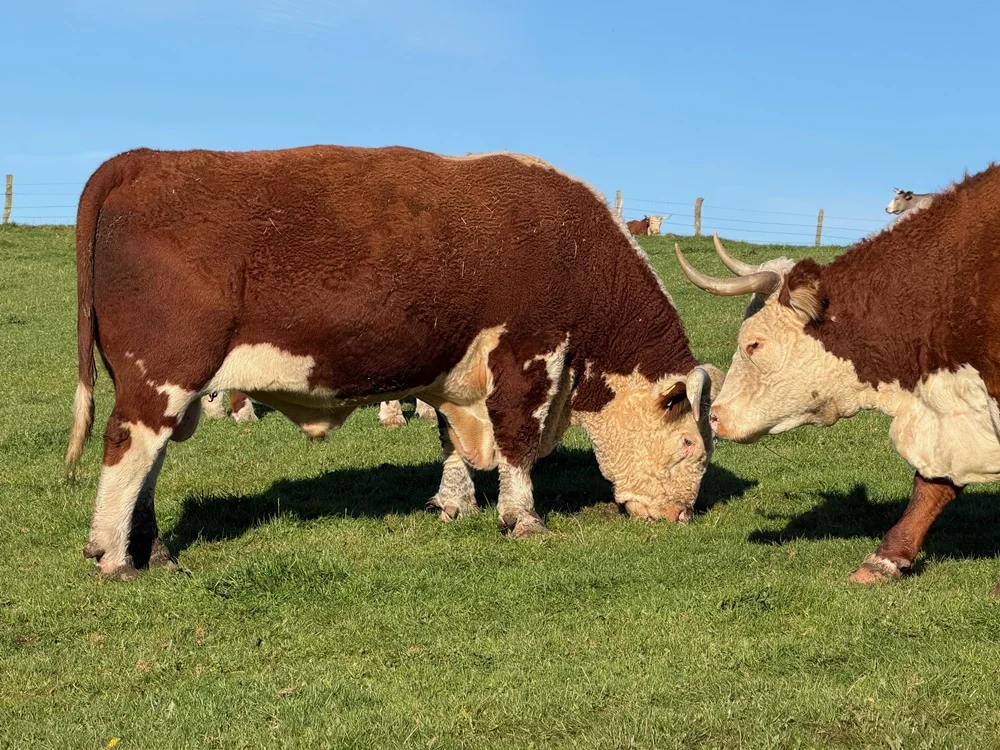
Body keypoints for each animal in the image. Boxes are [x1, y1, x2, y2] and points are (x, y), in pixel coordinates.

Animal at [65, 144, 725, 579]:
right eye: (690, 446)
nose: (682, 517)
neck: (575, 249)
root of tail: (145, 159)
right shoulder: (529, 353)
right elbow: (517, 439)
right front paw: (524, 518)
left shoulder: (458, 371)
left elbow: (453, 441)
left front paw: (453, 503)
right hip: (165, 372)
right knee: (128, 444)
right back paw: (114, 555)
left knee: (149, 458)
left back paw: (151, 549)